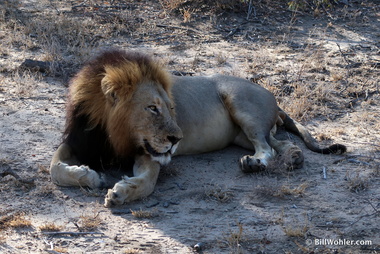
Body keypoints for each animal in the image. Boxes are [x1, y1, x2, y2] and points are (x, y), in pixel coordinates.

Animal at [49, 49, 346, 206]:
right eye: (152, 108)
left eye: (171, 107)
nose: (176, 139)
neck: (110, 130)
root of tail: (271, 94)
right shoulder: (76, 142)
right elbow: (54, 169)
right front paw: (90, 176)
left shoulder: (149, 154)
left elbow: (148, 183)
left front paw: (121, 191)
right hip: (242, 134)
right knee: (281, 143)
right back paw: (293, 158)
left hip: (241, 105)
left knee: (267, 148)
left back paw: (254, 164)